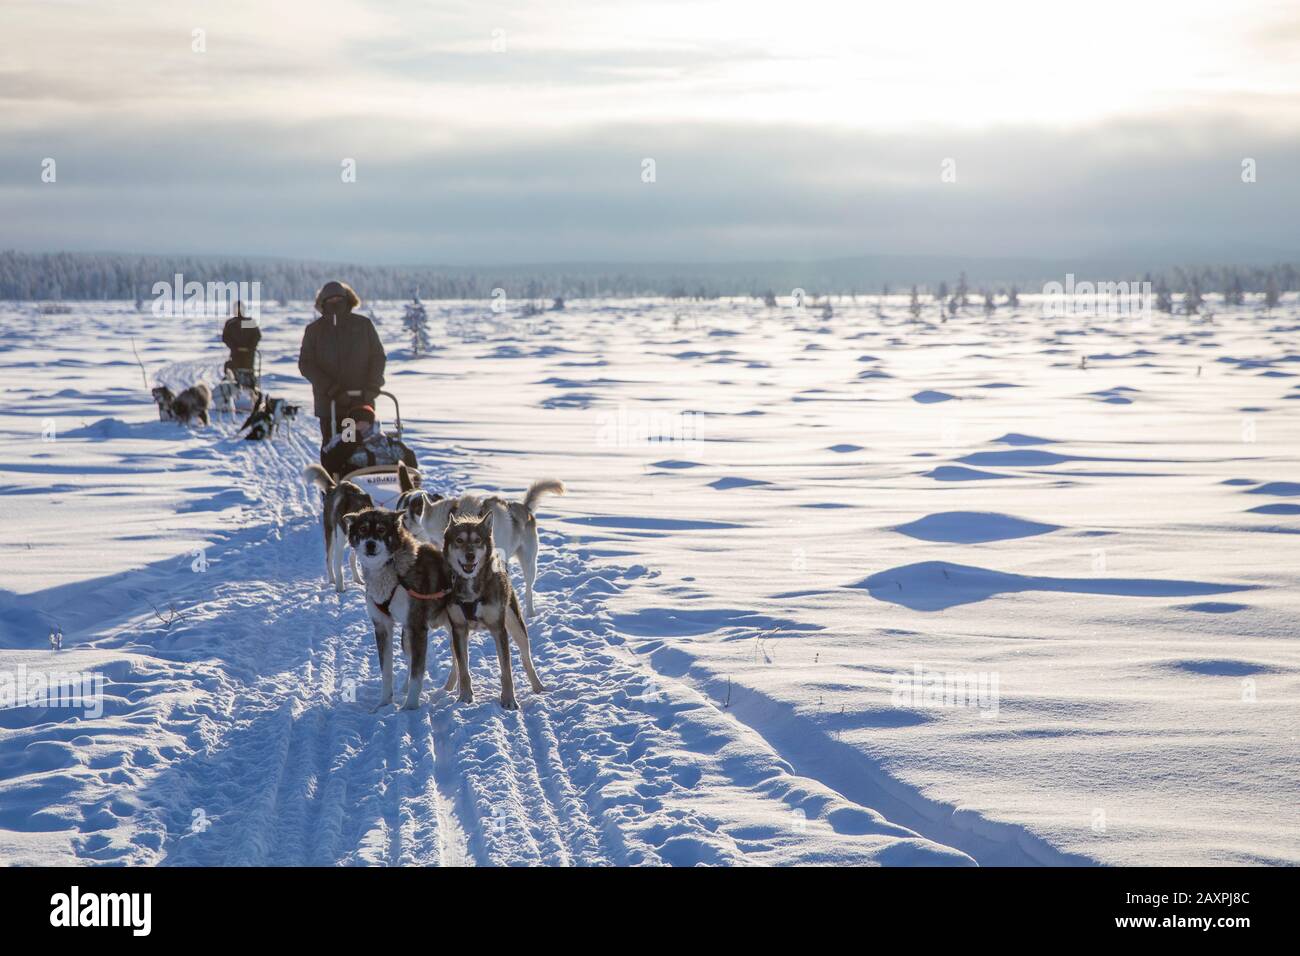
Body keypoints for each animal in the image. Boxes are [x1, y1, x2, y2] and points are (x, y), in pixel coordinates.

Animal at [345, 509, 457, 712]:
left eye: (381, 529)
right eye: (363, 529)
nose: (370, 544)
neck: (391, 570)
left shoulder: (417, 627)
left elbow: (417, 675)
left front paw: (410, 707)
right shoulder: (382, 627)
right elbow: (387, 672)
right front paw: (384, 704)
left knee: (459, 661)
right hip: (406, 636)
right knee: (413, 660)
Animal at [392, 465, 561, 616]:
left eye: (434, 540)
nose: (403, 523)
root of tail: (526, 509)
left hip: (529, 563)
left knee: (528, 589)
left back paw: (530, 613)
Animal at [441, 515, 543, 712]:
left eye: (477, 541)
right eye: (459, 540)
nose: (470, 555)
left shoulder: (499, 629)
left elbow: (506, 671)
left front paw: (509, 700)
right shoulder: (459, 629)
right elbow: (463, 669)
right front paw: (464, 697)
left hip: (516, 625)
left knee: (526, 659)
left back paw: (539, 687)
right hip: (452, 635)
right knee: (455, 661)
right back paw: (449, 687)